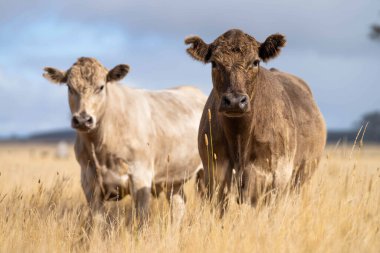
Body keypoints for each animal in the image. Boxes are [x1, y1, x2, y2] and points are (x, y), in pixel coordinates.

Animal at [43, 57, 206, 225]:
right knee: (178, 205)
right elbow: (97, 222)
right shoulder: (89, 183)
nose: (83, 119)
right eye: (70, 87)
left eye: (101, 87)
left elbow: (141, 219)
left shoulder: (141, 178)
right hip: (173, 179)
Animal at [185, 29, 326, 211]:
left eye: (255, 62)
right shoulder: (215, 173)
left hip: (299, 177)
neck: (239, 137)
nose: (235, 101)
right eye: (214, 63)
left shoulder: (270, 175)